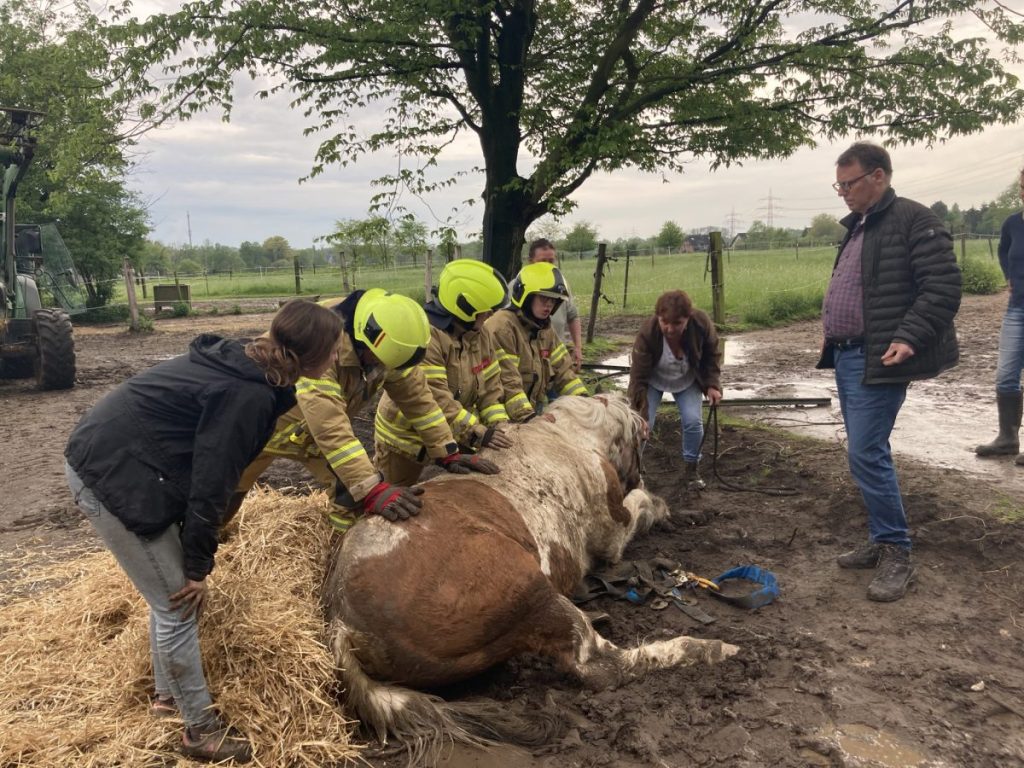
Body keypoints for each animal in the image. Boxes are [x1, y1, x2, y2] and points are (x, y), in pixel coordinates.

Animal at [321, 397, 737, 757]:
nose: (637, 471)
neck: (566, 436)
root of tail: (344, 622)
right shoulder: (613, 531)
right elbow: (645, 503)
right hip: (535, 593)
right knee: (601, 667)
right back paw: (708, 649)